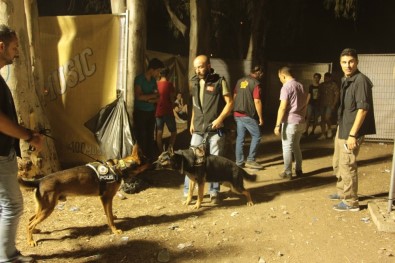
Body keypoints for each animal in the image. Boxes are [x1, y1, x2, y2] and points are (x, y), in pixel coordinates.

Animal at [18, 144, 149, 248]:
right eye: (145, 158)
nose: (152, 161)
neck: (118, 168)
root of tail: (39, 180)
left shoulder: (106, 199)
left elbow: (110, 214)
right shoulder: (106, 198)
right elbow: (110, 218)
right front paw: (115, 230)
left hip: (43, 208)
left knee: (30, 220)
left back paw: (36, 231)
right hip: (47, 209)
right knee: (29, 224)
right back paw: (30, 241)